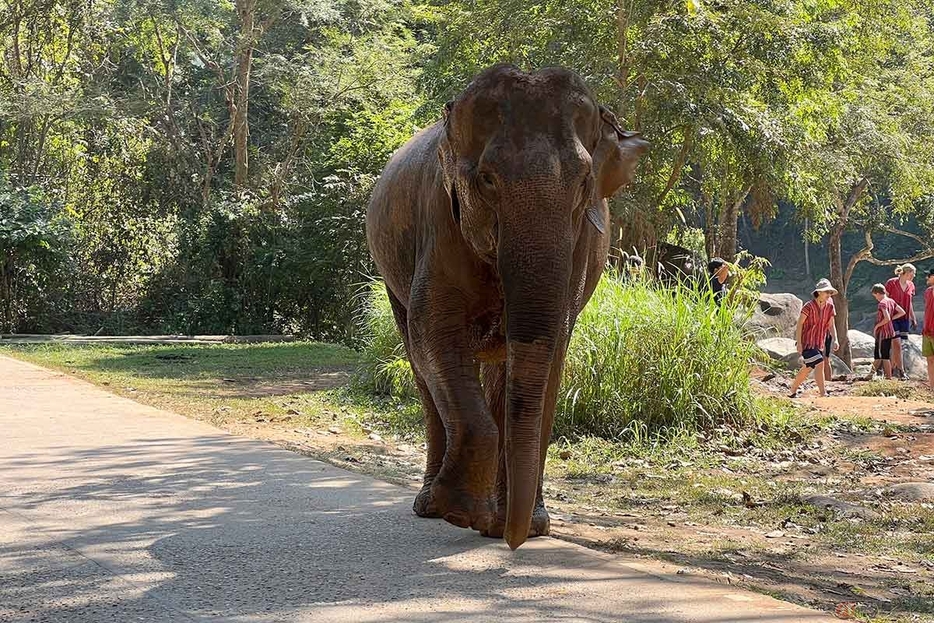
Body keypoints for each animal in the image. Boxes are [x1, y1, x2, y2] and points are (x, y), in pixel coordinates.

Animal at [368, 64, 652, 552]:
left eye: (584, 183)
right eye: (487, 180)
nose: (513, 542)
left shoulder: (580, 246)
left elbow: (552, 350)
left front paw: (522, 526)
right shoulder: (439, 221)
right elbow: (434, 333)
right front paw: (460, 512)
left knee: (500, 368)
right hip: (391, 275)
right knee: (420, 365)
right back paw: (431, 506)